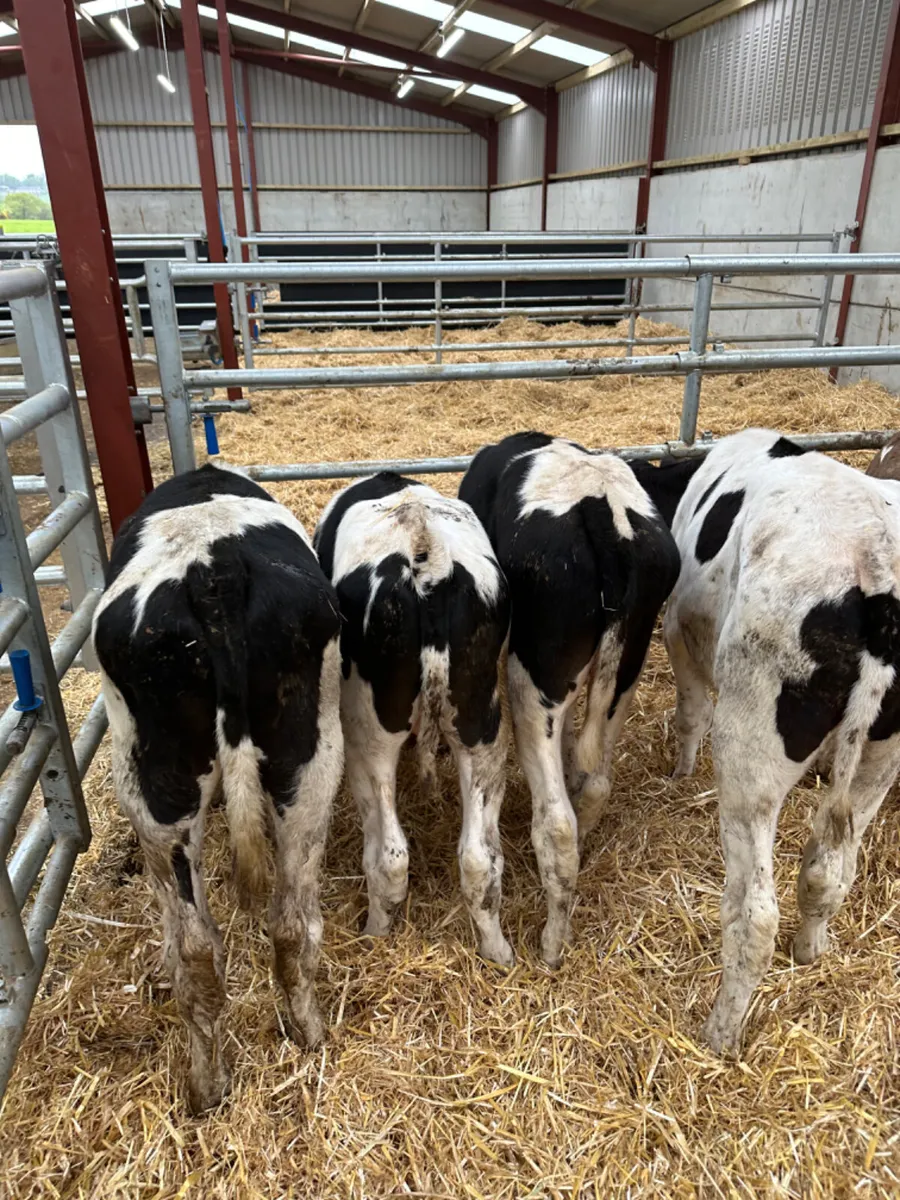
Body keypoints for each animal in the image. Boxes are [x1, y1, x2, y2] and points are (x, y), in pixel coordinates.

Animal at [92, 464, 344, 1112]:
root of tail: (214, 573)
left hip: (148, 782)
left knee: (194, 946)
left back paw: (205, 1087)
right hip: (308, 762)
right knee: (285, 925)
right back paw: (306, 1035)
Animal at [314, 473, 513, 967]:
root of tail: (427, 560)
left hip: (369, 738)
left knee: (390, 856)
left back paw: (373, 933)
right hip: (482, 727)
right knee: (479, 858)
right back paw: (498, 951)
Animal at [459, 432, 682, 968]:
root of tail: (605, 512)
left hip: (534, 677)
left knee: (556, 824)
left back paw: (551, 945)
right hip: (628, 663)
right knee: (596, 778)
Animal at [663, 428, 900, 1054]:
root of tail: (877, 564)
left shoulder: (679, 631)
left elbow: (691, 711)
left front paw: (680, 771)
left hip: (752, 752)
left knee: (754, 914)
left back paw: (719, 1034)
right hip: (881, 755)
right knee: (829, 871)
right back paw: (811, 951)